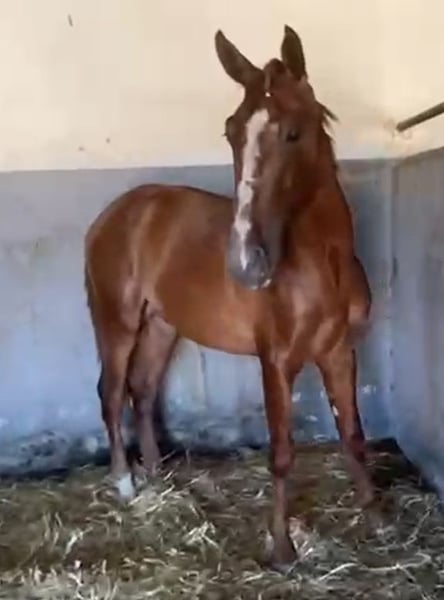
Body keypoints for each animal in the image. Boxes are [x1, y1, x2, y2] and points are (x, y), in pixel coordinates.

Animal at [84, 25, 375, 569]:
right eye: (230, 131)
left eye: (293, 132)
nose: (245, 264)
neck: (324, 265)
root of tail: (113, 216)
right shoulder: (276, 361)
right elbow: (281, 453)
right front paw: (281, 547)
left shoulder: (340, 351)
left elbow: (353, 431)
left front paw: (374, 512)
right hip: (117, 322)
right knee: (111, 394)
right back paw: (125, 484)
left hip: (162, 325)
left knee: (143, 389)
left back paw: (157, 474)